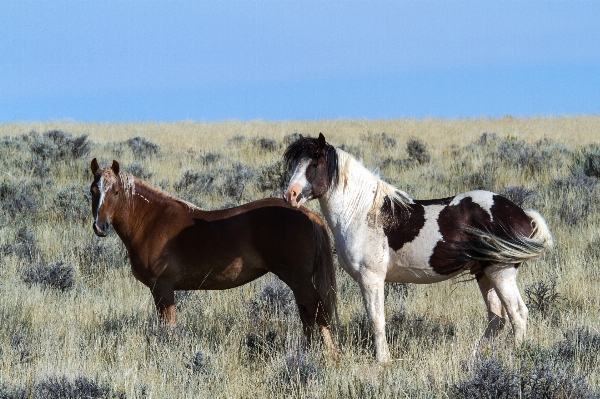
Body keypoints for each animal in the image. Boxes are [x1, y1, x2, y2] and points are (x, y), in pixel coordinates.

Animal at [91, 158, 340, 354]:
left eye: (115, 191)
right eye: (93, 191)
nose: (100, 227)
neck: (152, 221)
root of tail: (307, 214)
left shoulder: (162, 288)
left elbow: (169, 328)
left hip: (299, 280)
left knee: (319, 311)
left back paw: (331, 356)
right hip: (298, 282)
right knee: (308, 315)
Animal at [282, 134, 552, 362]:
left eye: (313, 164)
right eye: (295, 165)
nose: (290, 195)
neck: (361, 212)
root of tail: (521, 214)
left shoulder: (371, 278)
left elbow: (376, 320)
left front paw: (383, 361)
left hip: (500, 271)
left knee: (518, 314)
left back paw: (516, 355)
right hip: (484, 273)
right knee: (497, 318)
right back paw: (476, 356)